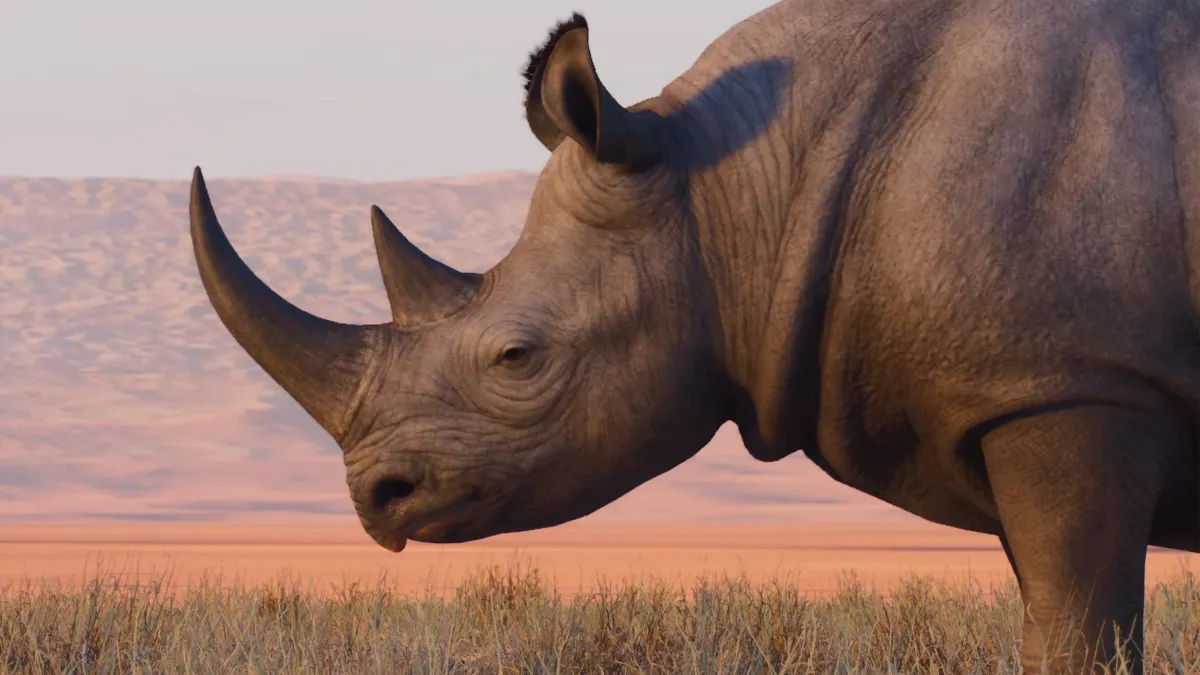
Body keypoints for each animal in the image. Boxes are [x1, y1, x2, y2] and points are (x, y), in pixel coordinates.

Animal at [188, 0, 1200, 671]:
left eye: (517, 357)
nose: (376, 500)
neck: (730, 181)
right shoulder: (1014, 395)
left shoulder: (1073, 386)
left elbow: (1077, 630)